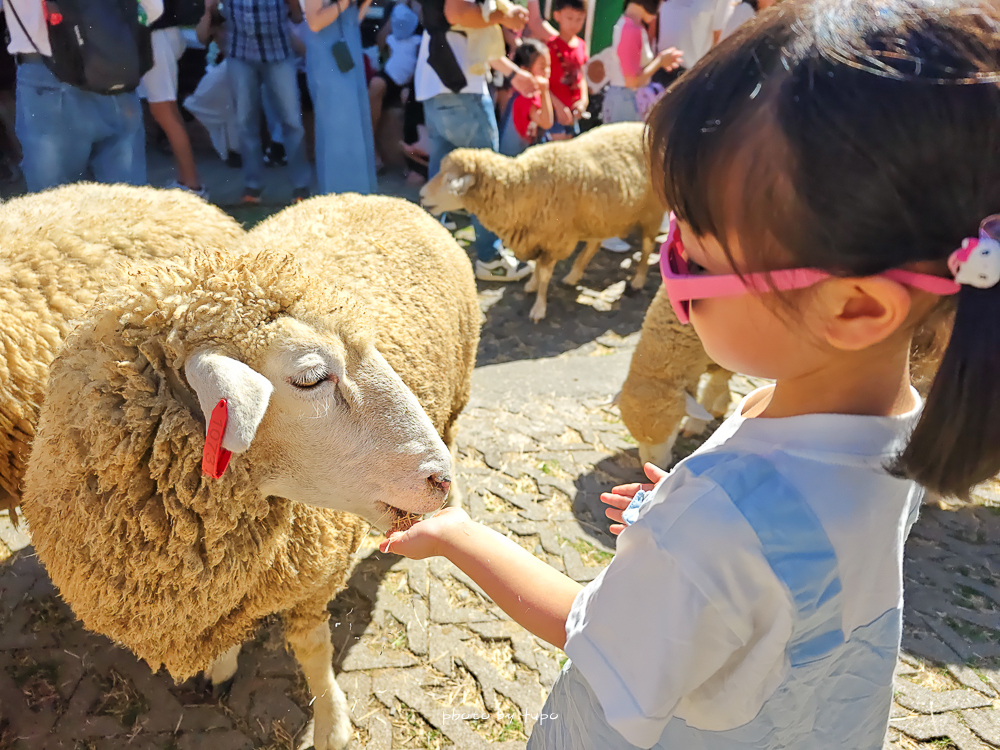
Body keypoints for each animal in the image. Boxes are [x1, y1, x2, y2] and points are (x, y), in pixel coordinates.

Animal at [20, 194, 480, 750]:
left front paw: (332, 725)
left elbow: (313, 651)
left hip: (460, 388)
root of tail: (379, 197)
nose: (439, 479)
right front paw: (221, 668)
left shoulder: (313, 581)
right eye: (310, 377)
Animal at [418, 122, 660, 322]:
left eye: (450, 180)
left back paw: (638, 281)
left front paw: (538, 308)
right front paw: (532, 285)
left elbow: (544, 273)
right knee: (594, 244)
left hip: (651, 211)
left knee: (647, 247)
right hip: (599, 215)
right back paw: (573, 275)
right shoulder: (535, 234)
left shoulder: (554, 238)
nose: (421, 195)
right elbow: (537, 268)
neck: (522, 184)